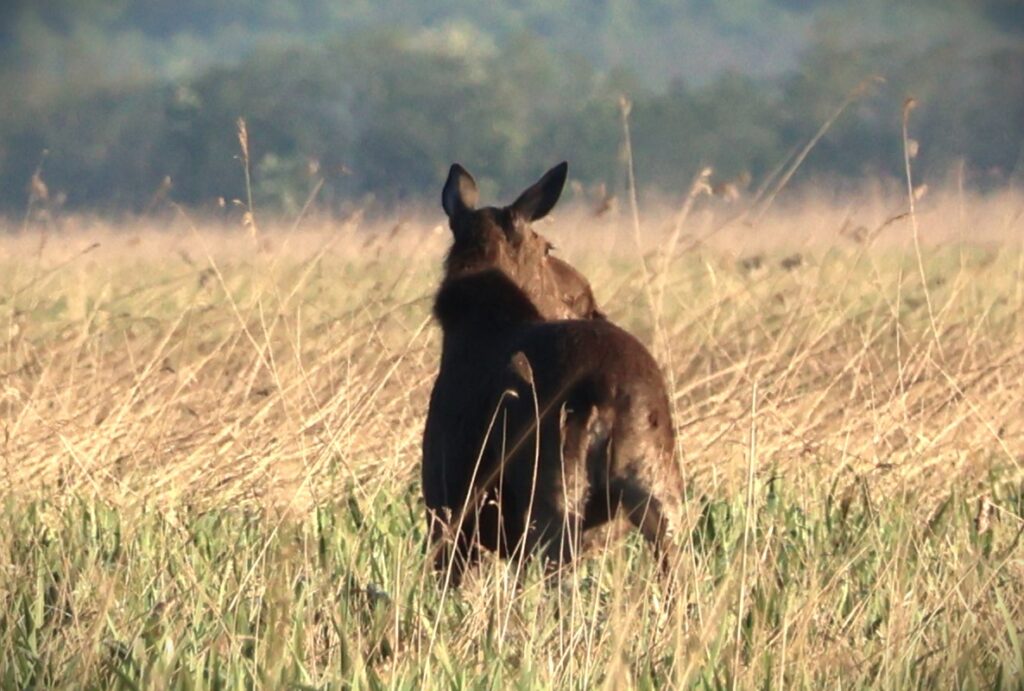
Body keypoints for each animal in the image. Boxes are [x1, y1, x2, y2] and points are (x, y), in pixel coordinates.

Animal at [422, 162, 684, 585]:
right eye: (548, 248)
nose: (589, 301)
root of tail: (611, 392)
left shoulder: (448, 513)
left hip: (550, 497)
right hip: (659, 492)